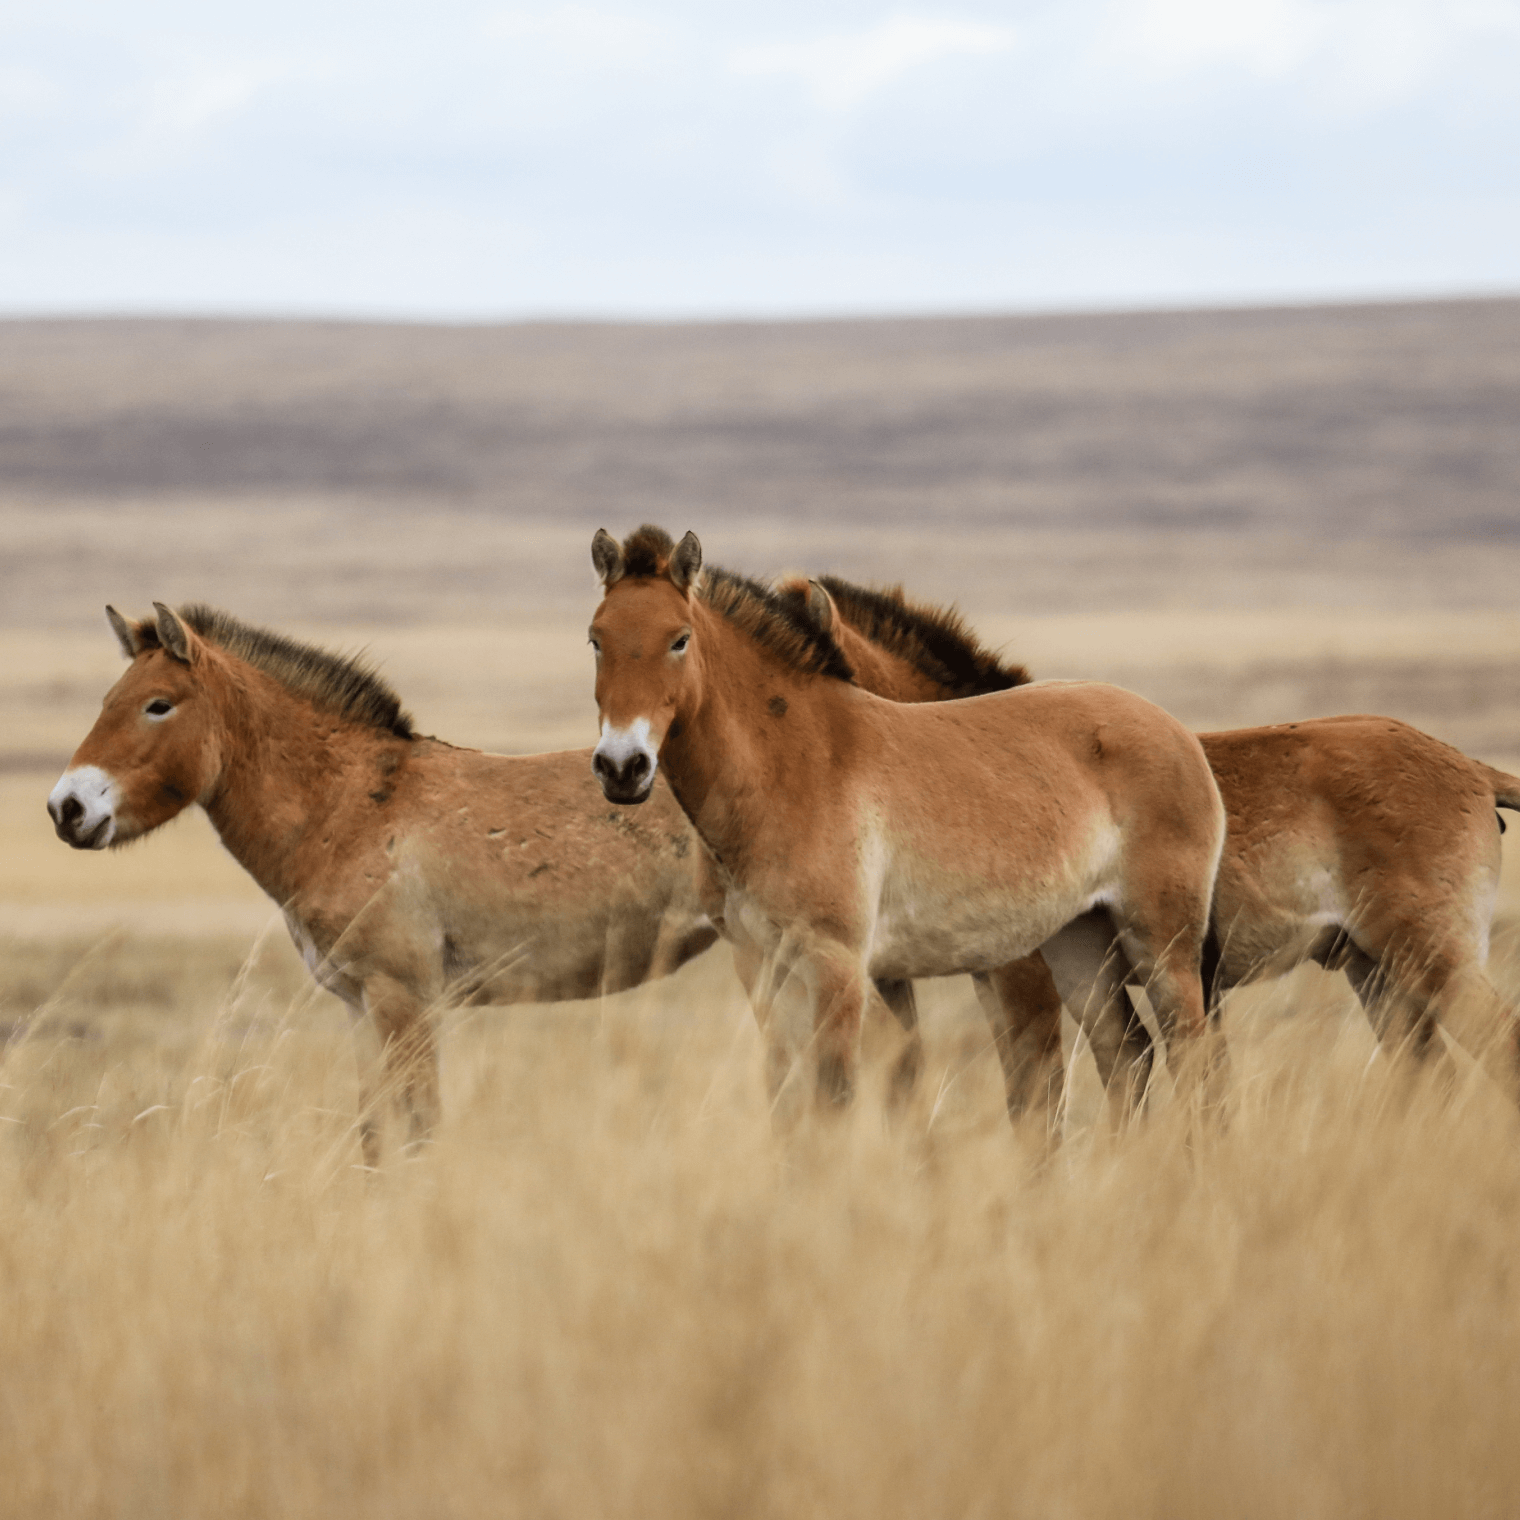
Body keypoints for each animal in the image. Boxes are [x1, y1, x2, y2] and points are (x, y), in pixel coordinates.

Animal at [45, 598, 711, 1155]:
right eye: (107, 701)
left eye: (158, 705)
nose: (66, 808)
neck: (352, 808)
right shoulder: (358, 1005)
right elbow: (372, 1135)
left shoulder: (404, 1000)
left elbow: (420, 1128)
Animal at [586, 528, 1228, 1124]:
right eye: (595, 640)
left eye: (680, 639)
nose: (621, 767)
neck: (793, 766)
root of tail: (1174, 730)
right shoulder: (763, 966)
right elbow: (791, 1109)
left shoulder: (838, 967)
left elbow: (835, 1101)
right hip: (1080, 942)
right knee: (1128, 1055)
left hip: (1161, 946)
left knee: (1191, 1061)